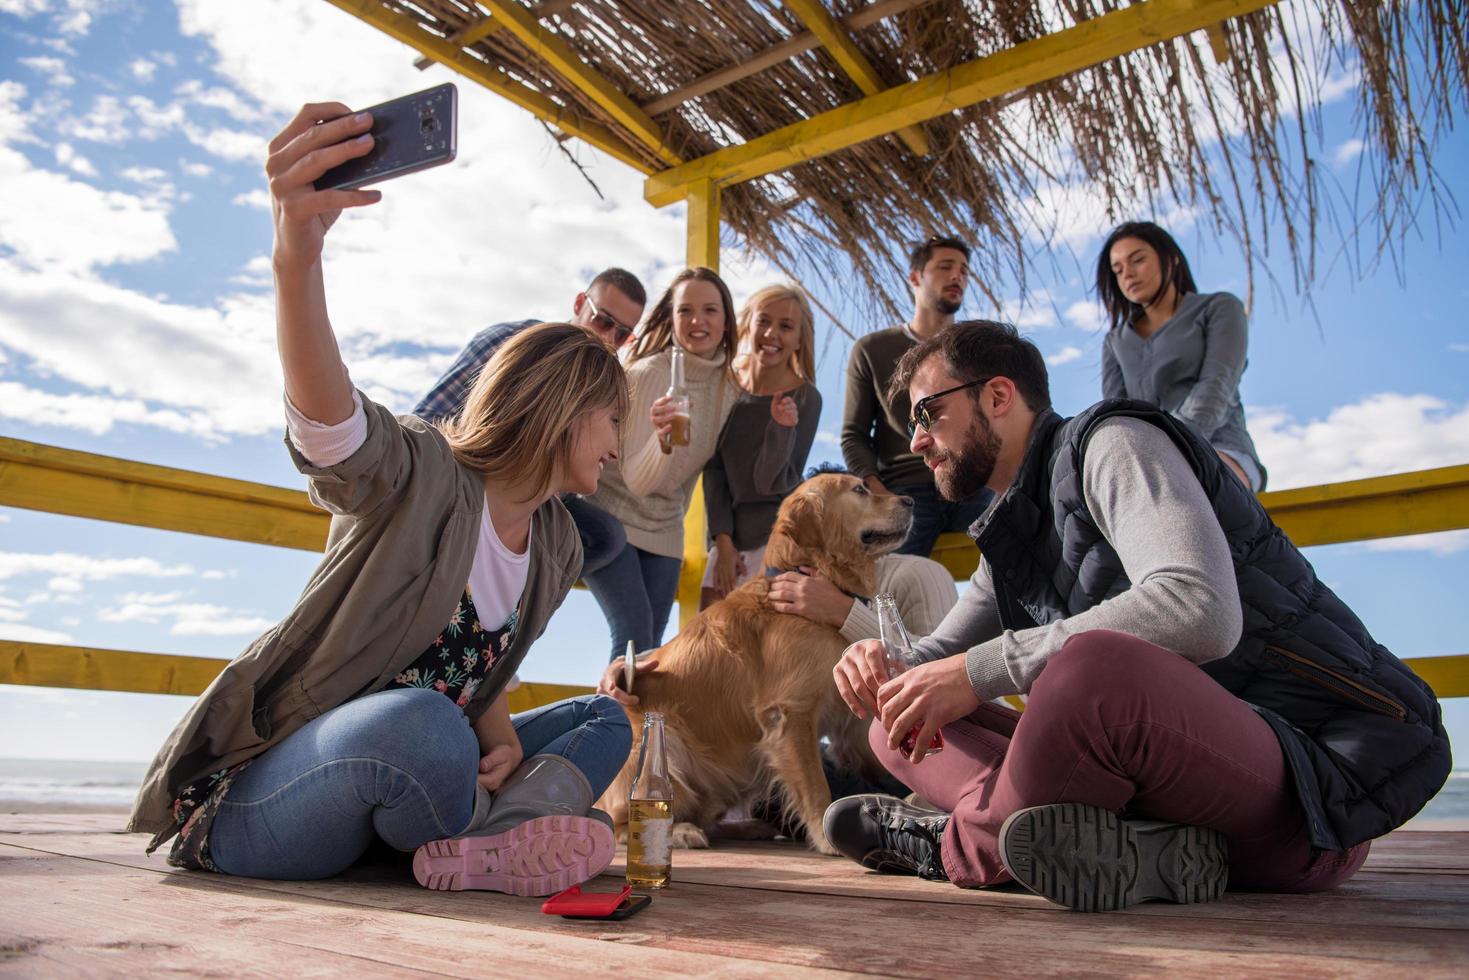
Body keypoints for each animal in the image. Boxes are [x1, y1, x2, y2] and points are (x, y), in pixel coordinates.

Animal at [593, 473, 910, 852]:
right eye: (859, 489)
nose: (910, 501)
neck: (811, 575)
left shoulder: (848, 722)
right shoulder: (790, 713)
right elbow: (816, 786)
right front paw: (826, 835)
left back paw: (746, 827)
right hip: (663, 743)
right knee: (624, 823)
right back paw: (680, 831)